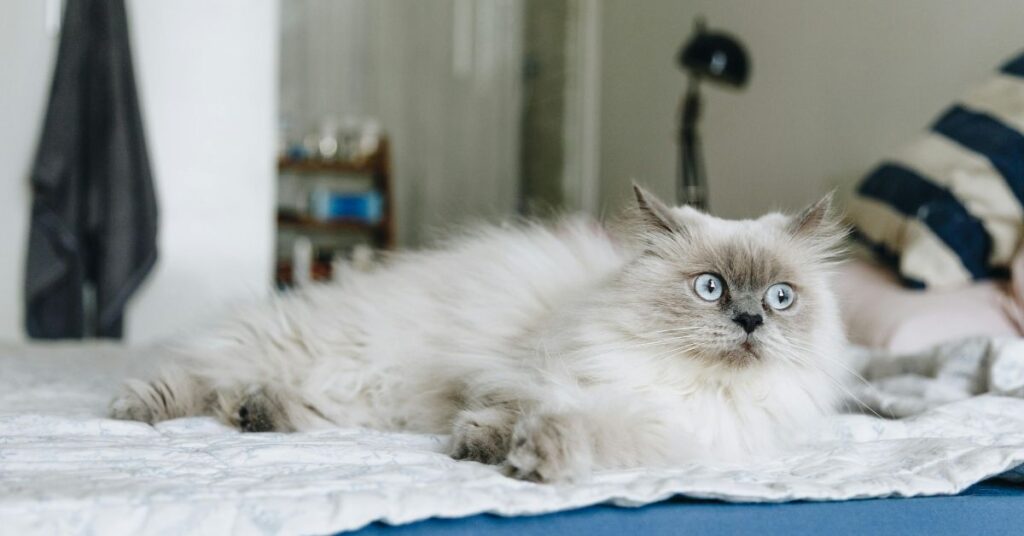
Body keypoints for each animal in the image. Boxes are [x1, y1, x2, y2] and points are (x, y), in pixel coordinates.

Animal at [110, 184, 847, 481]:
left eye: (781, 298)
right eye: (710, 288)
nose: (750, 320)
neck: (681, 384)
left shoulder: (660, 430)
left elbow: (575, 431)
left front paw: (517, 455)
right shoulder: (531, 375)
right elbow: (511, 413)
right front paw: (497, 450)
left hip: (365, 396)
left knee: (253, 394)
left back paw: (256, 413)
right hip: (335, 353)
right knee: (199, 371)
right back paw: (135, 408)